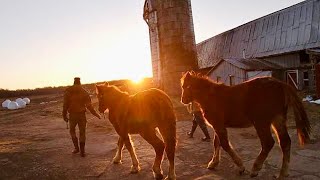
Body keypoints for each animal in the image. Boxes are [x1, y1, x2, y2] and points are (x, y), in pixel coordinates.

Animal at [180, 71, 310, 179]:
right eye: (183, 86)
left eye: (188, 86)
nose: (183, 100)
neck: (211, 97)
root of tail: (281, 84)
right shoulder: (218, 125)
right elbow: (216, 143)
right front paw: (213, 163)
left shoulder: (219, 126)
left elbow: (224, 144)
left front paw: (241, 166)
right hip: (278, 120)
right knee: (285, 142)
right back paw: (282, 173)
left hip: (261, 122)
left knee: (268, 143)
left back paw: (255, 169)